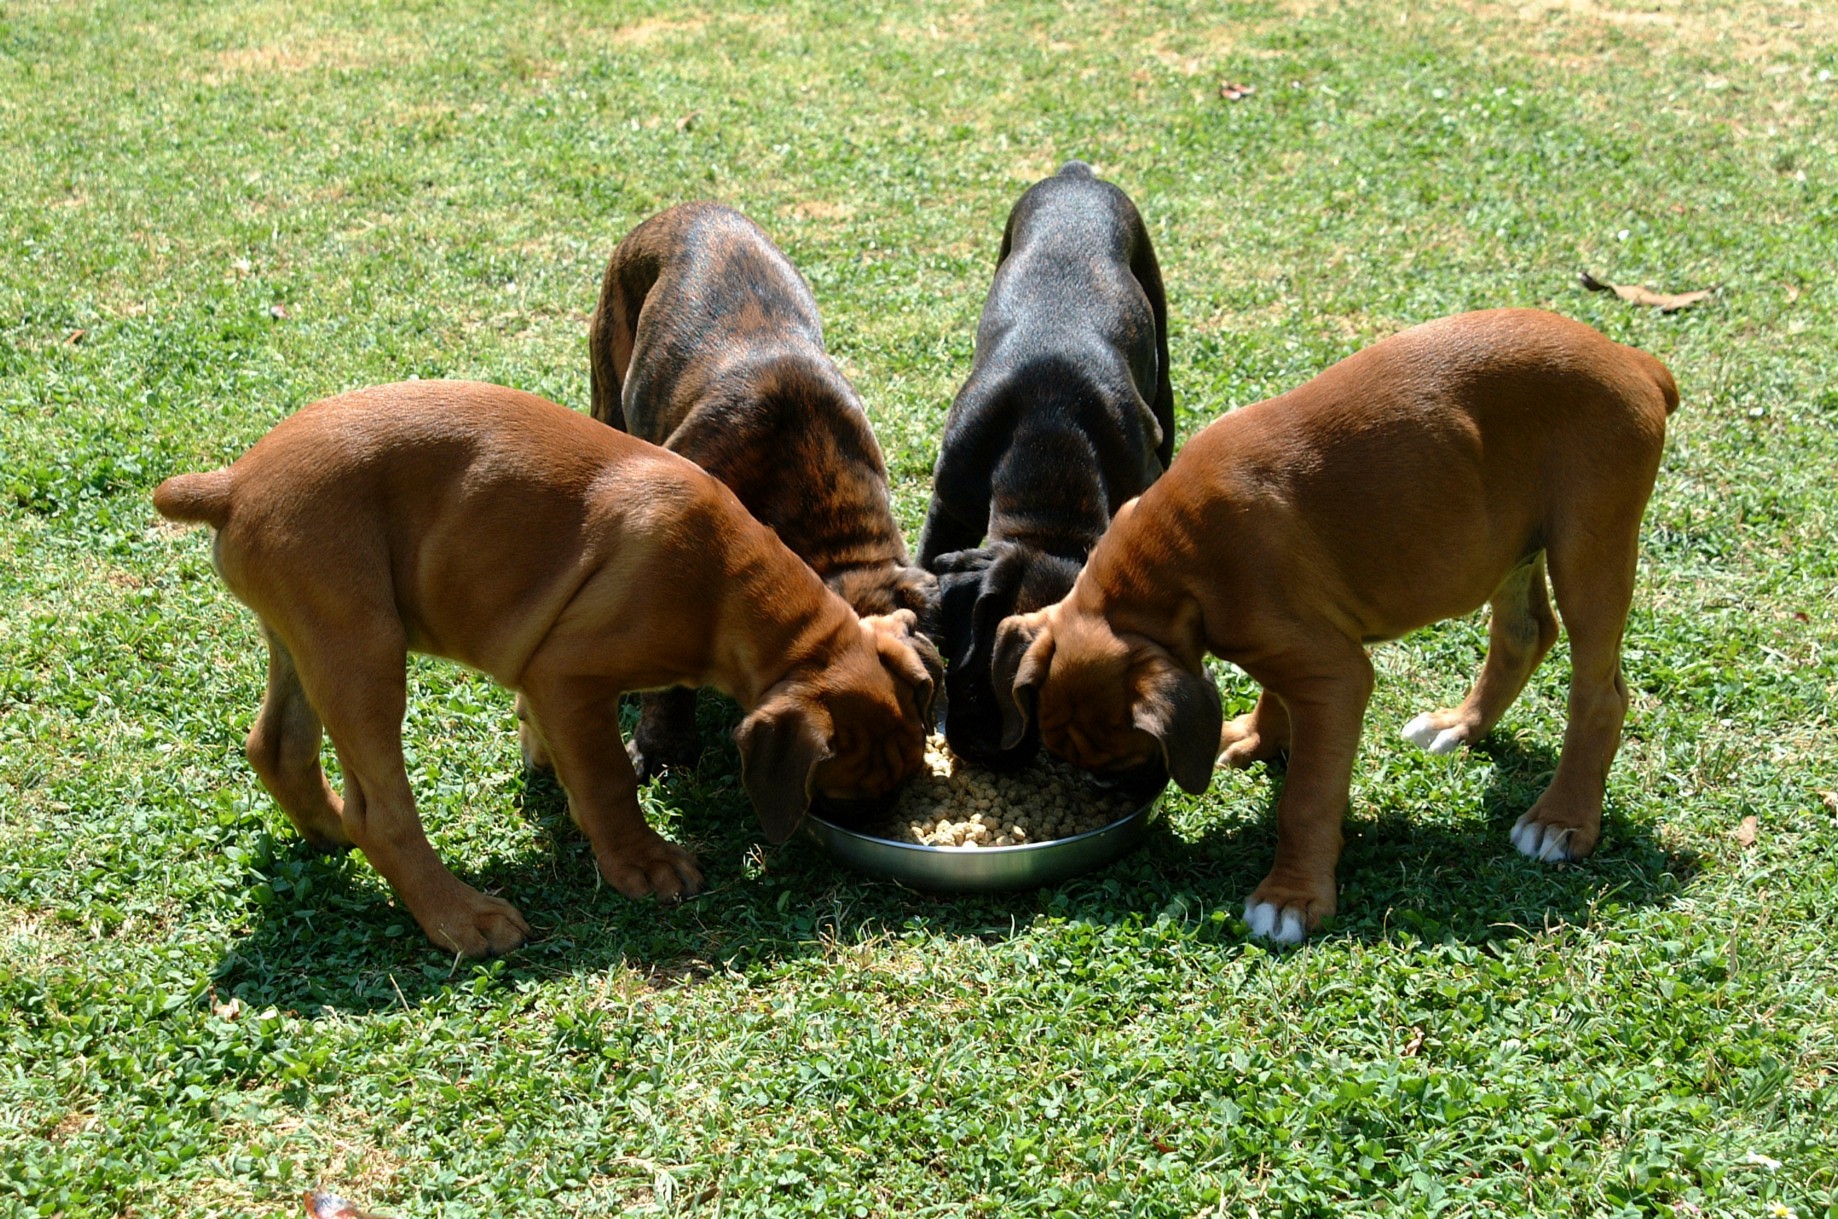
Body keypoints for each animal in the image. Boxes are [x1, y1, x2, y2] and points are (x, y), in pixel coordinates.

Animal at [150, 384, 941, 963]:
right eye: (849, 797)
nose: (885, 832)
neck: (731, 587)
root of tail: (233, 482)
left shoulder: (546, 681)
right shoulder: (569, 674)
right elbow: (609, 777)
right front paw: (642, 862)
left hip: (305, 637)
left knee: (276, 745)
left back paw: (325, 831)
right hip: (362, 650)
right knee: (379, 811)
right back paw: (462, 916)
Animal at [992, 310, 1683, 948]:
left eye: (1119, 759)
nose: (1111, 795)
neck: (1173, 557)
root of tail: (1634, 362)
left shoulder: (1334, 675)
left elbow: (1306, 800)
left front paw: (1291, 898)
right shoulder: (1291, 648)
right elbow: (1273, 691)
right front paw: (1254, 737)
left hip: (1588, 546)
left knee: (1599, 694)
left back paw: (1562, 820)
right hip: (1511, 547)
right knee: (1525, 634)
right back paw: (1459, 725)